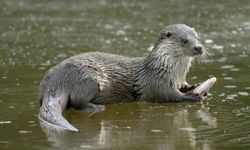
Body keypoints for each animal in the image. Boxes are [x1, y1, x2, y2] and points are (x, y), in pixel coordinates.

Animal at [38, 23, 207, 131]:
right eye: (184, 40)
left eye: (198, 38)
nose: (198, 48)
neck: (171, 70)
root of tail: (53, 84)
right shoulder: (156, 83)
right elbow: (168, 95)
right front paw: (193, 96)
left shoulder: (178, 79)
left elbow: (183, 86)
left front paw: (193, 87)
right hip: (88, 77)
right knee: (78, 101)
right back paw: (97, 107)